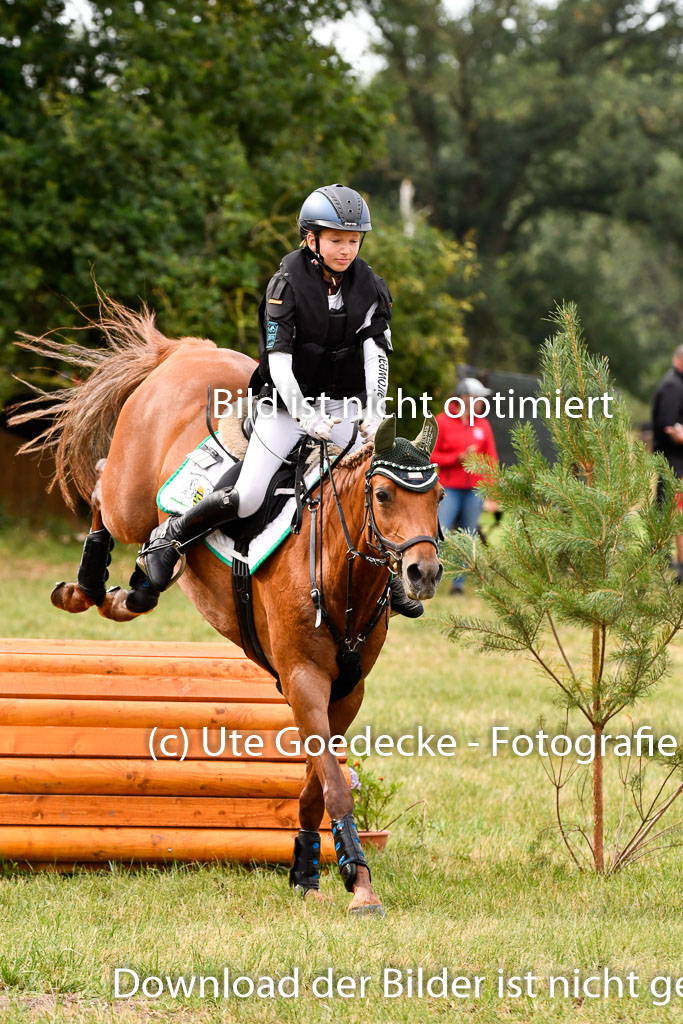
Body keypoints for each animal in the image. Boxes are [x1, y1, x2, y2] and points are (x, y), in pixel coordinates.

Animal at [17, 299, 444, 917]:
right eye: (383, 495)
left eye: (439, 497)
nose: (424, 573)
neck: (339, 572)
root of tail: (185, 351)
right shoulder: (303, 678)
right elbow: (336, 783)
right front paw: (360, 885)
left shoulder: (346, 689)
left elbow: (317, 781)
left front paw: (308, 868)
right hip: (128, 496)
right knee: (101, 489)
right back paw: (87, 586)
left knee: (141, 551)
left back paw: (136, 586)